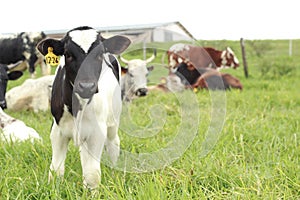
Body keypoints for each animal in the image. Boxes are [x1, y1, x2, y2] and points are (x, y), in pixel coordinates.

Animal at [37, 26, 131, 189]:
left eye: (99, 55)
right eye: (68, 54)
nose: (87, 86)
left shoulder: (97, 132)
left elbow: (92, 174)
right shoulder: (57, 130)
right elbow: (55, 170)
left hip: (113, 121)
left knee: (113, 144)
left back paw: (114, 174)